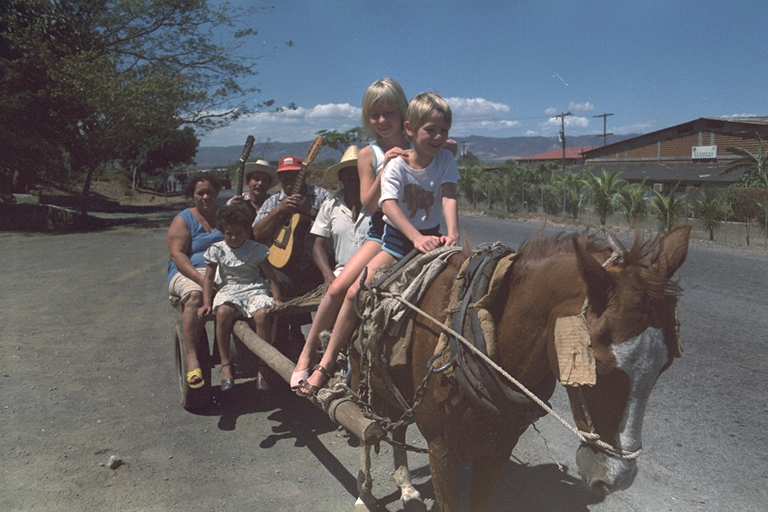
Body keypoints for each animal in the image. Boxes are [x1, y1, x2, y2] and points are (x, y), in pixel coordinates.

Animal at [350, 226, 691, 511]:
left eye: (664, 365)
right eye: (601, 366)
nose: (618, 476)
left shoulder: (500, 447)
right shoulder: (440, 446)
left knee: (396, 424)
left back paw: (406, 487)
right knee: (366, 426)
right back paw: (364, 493)